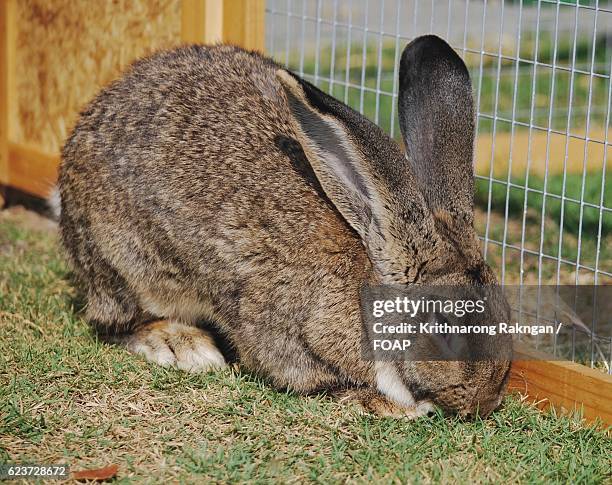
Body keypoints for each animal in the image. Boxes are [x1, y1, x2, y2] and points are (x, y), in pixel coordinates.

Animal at [59, 36, 512, 418]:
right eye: (443, 326)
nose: (485, 401)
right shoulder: (285, 333)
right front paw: (386, 405)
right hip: (124, 262)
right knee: (115, 322)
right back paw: (182, 345)